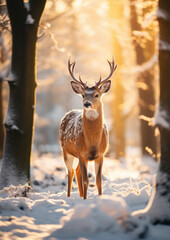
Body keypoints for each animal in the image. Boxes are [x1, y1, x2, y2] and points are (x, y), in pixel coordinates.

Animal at [58, 57, 117, 199]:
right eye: (83, 95)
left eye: (96, 95)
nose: (86, 104)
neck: (92, 144)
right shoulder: (81, 153)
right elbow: (86, 180)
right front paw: (85, 199)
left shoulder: (101, 154)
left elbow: (98, 180)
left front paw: (99, 198)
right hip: (66, 151)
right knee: (70, 173)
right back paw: (69, 197)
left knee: (77, 171)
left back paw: (79, 196)